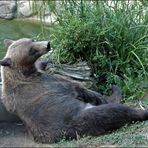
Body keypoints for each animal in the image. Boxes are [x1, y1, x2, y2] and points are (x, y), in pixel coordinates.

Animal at [0, 38, 148, 143]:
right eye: (31, 50)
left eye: (32, 40)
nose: (47, 44)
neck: (24, 73)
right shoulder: (50, 83)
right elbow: (81, 89)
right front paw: (103, 95)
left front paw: (47, 61)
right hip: (81, 118)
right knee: (114, 111)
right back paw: (140, 111)